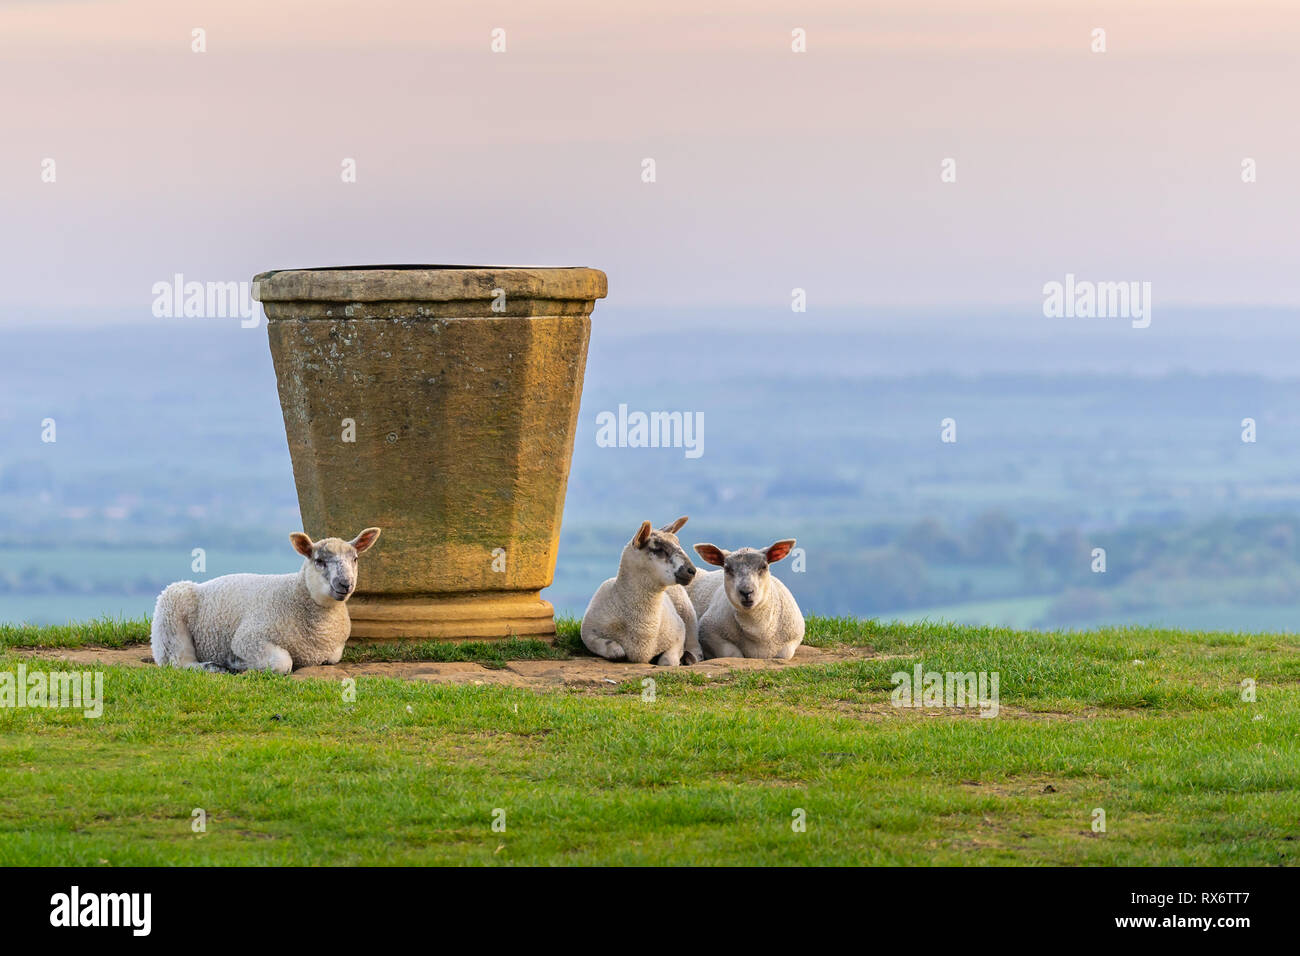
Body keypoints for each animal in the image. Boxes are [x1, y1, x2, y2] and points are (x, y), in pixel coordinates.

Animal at [150, 528, 379, 676]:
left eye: (355, 559)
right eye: (319, 561)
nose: (345, 584)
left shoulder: (333, 650)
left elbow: (331, 658)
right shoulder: (248, 639)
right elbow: (283, 663)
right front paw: (237, 663)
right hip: (170, 614)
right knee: (178, 661)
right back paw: (213, 667)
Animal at [579, 515, 702, 665]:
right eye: (659, 549)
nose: (692, 570)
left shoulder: (679, 632)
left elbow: (668, 661)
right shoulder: (588, 633)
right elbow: (615, 652)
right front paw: (617, 650)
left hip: (687, 614)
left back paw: (690, 657)